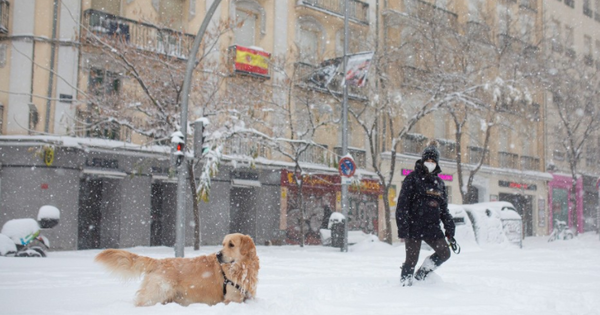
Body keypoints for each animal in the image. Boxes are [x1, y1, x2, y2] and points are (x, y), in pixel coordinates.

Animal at [95, 235, 258, 306]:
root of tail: (159, 261)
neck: (243, 268)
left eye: (231, 244)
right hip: (158, 292)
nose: (218, 254)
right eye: (223, 244)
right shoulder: (232, 298)